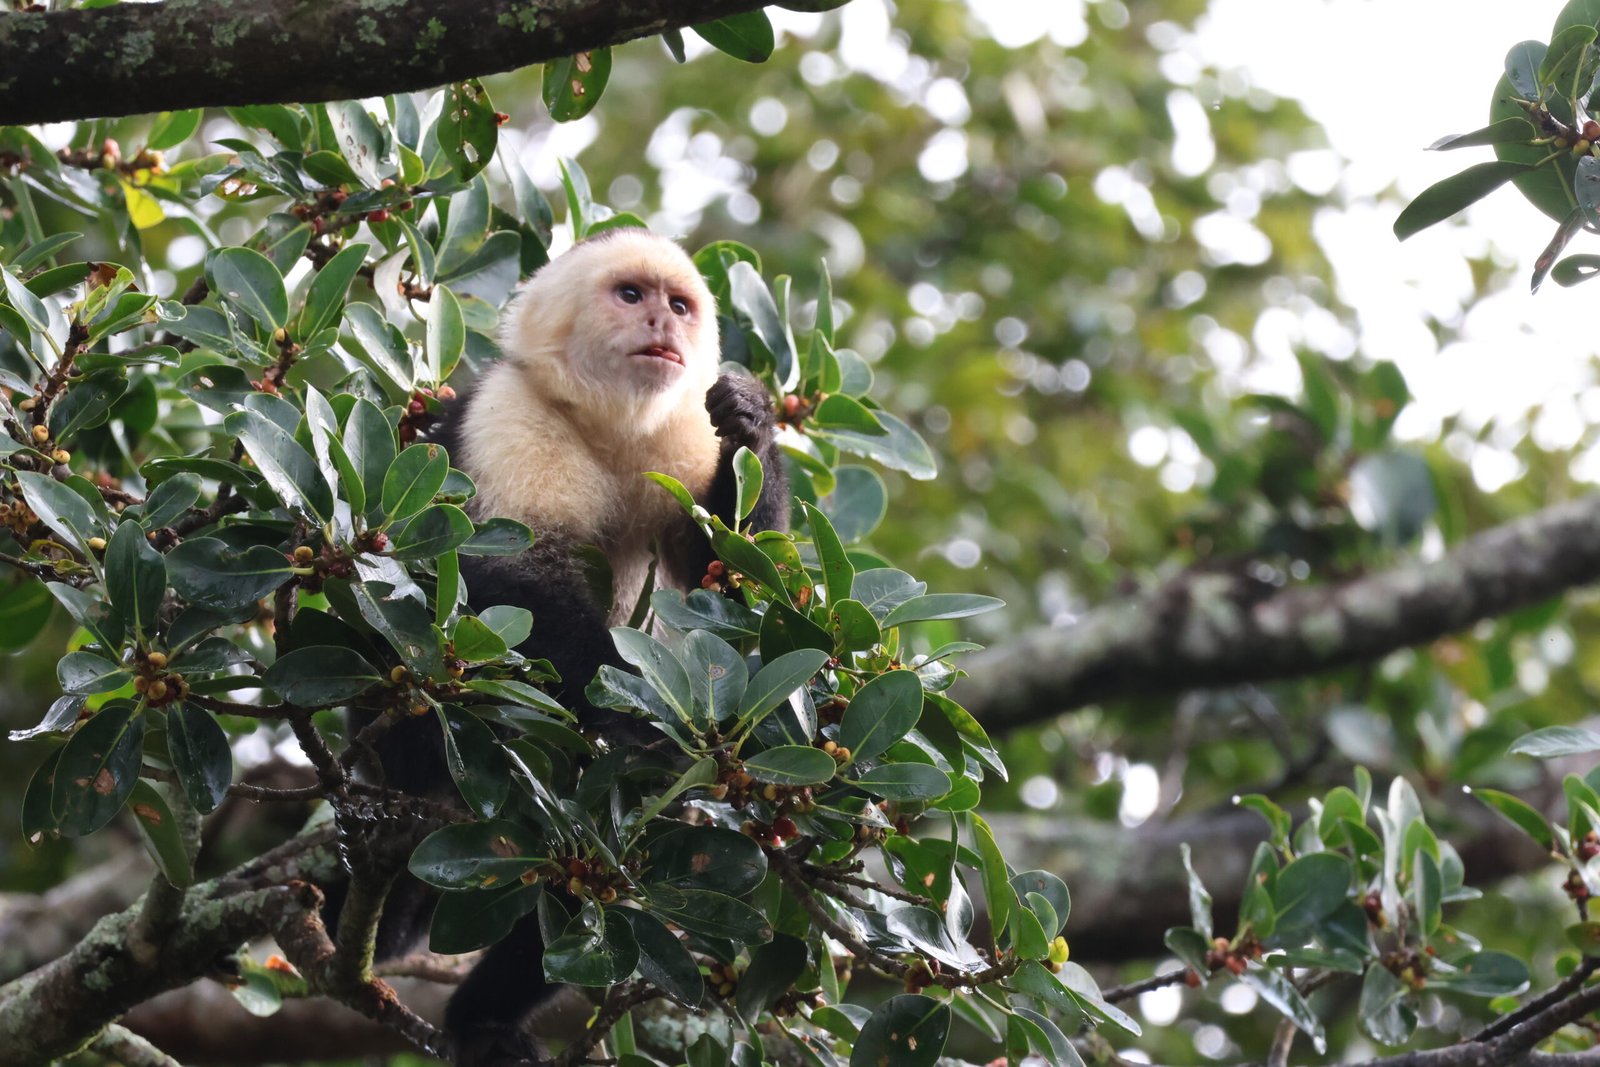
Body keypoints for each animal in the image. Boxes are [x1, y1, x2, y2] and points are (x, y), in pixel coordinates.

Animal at [368, 228, 789, 1066]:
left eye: (679, 305)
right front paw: (632, 717)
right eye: (631, 295)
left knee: (609, 868)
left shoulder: (684, 432)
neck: (612, 427)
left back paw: (484, 1017)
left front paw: (753, 416)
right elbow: (507, 566)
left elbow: (742, 596)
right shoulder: (507, 408)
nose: (662, 323)